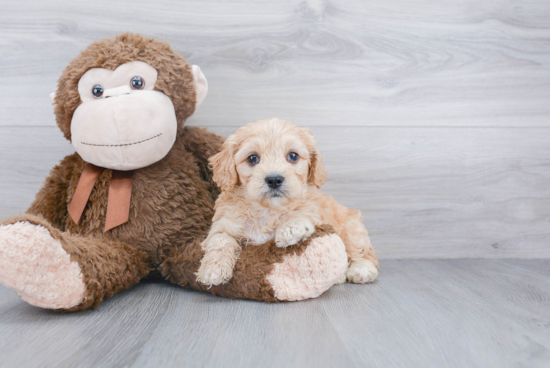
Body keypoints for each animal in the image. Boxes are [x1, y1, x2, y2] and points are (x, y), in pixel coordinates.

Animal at [196, 119, 382, 286]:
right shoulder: (224, 224)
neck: (268, 210)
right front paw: (213, 270)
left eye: (293, 156)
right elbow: (220, 240)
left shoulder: (315, 212)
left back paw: (361, 270)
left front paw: (290, 230)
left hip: (351, 227)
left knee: (361, 252)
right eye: (252, 158)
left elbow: (301, 213)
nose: (274, 179)